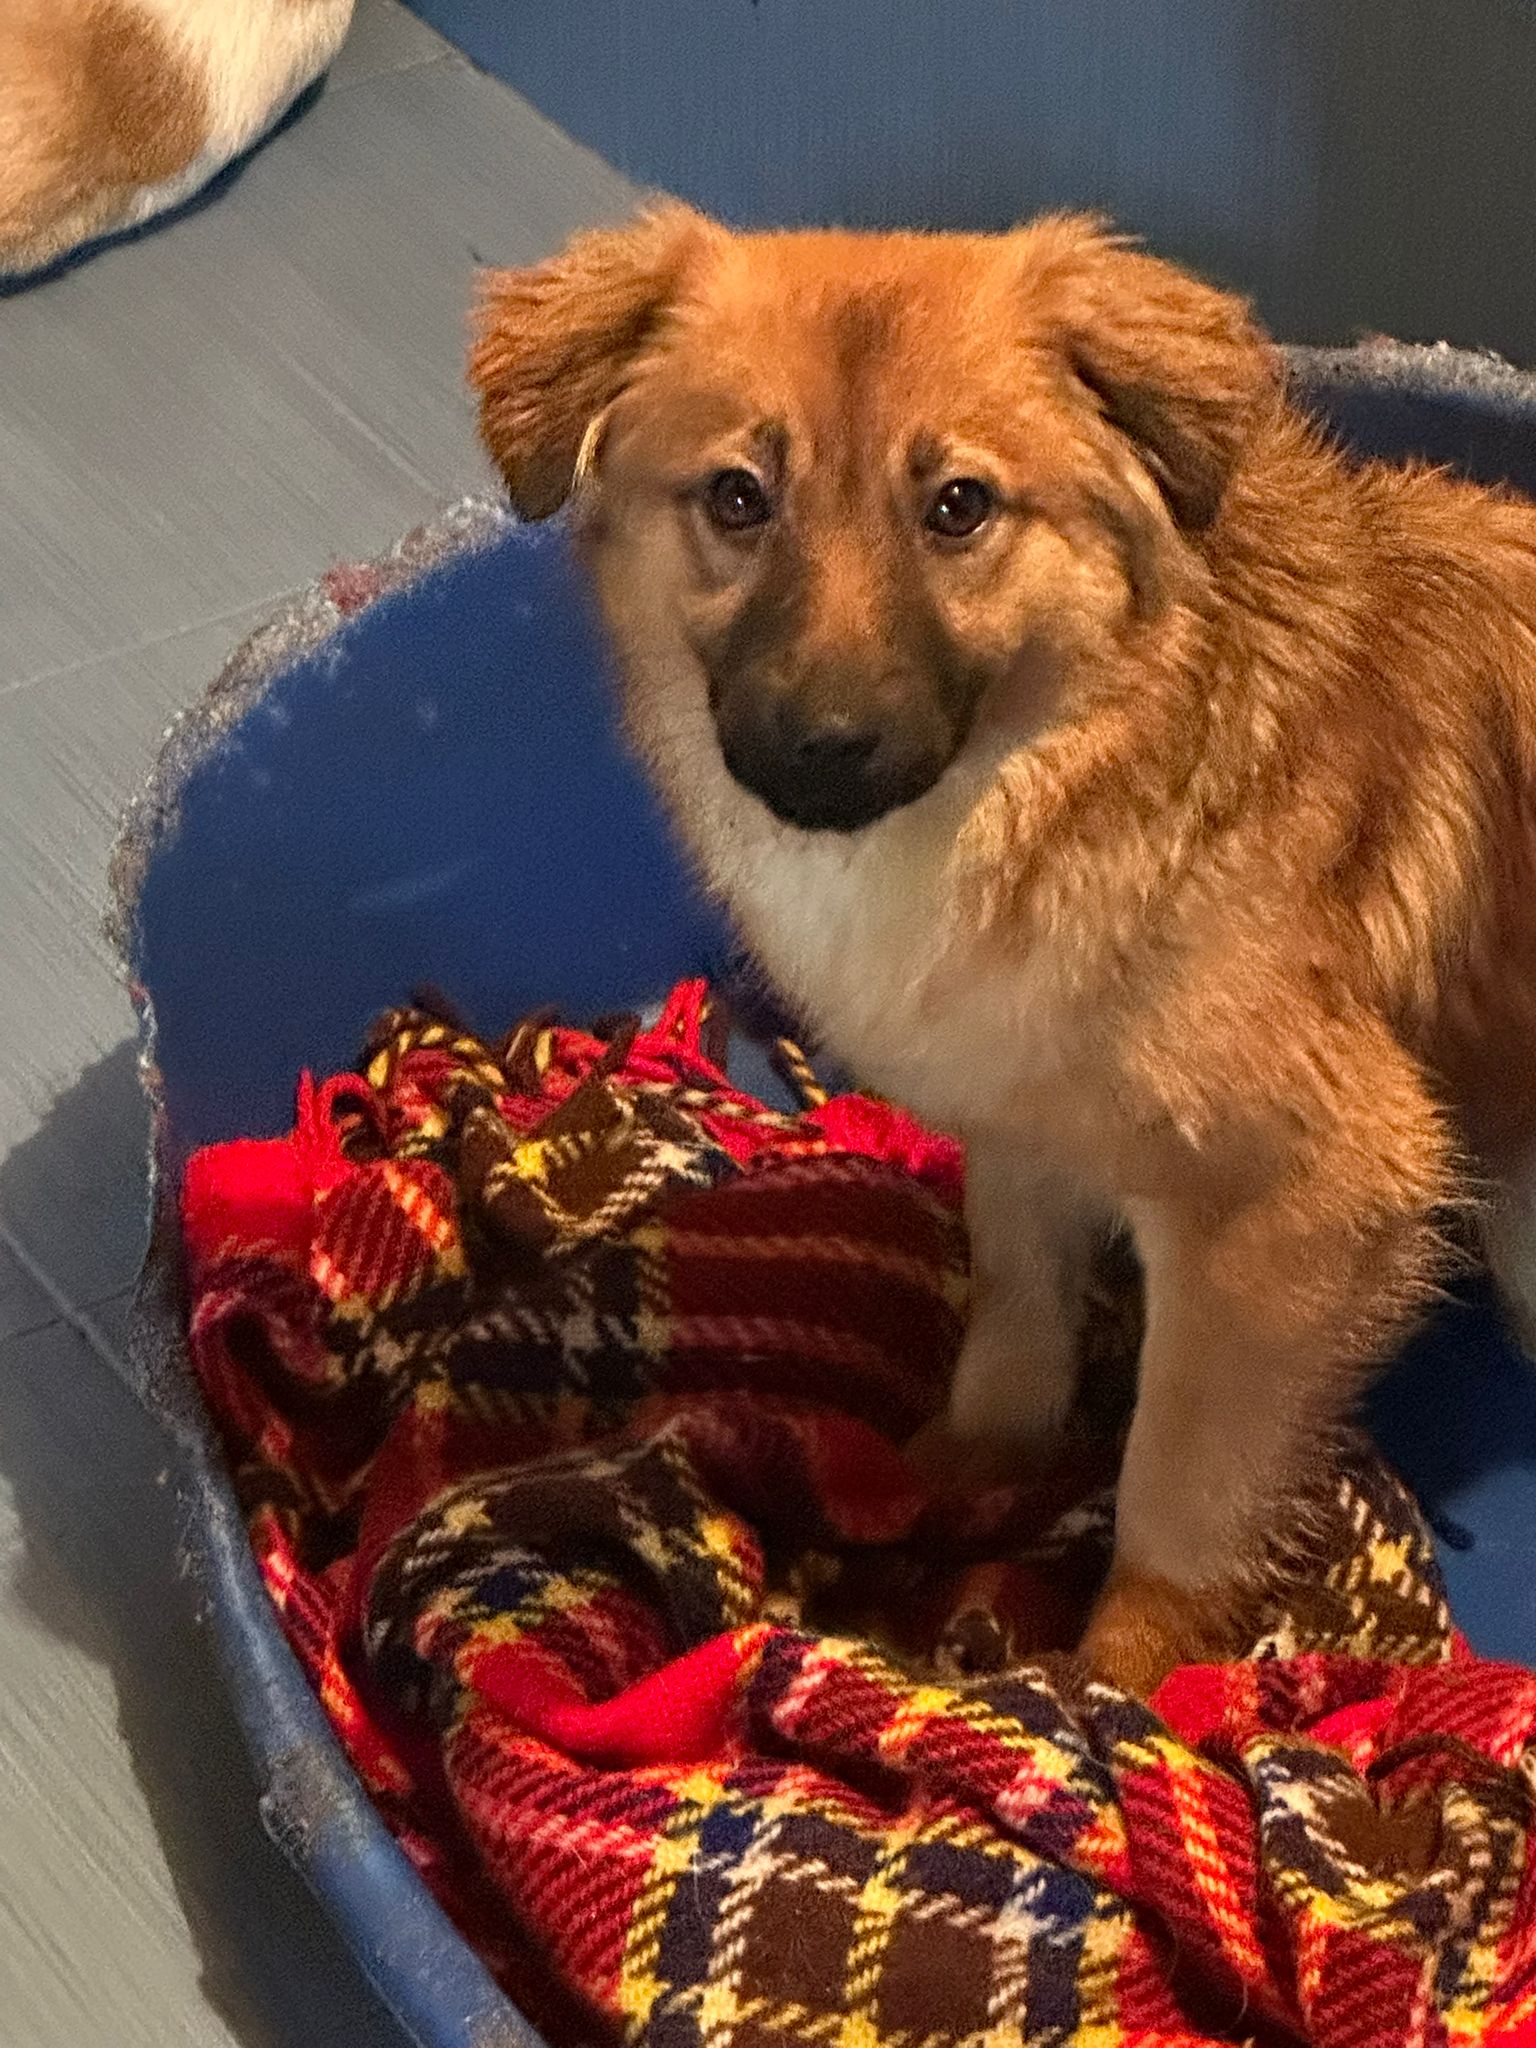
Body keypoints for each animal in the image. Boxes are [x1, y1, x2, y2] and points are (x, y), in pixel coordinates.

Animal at [469, 203, 1536, 1695]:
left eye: (958, 507)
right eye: (738, 498)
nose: (824, 748)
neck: (1056, 778)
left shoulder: (1309, 1201)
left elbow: (1176, 1480)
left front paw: (1115, 1681)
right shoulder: (1025, 1127)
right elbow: (1014, 1338)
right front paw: (929, 1487)